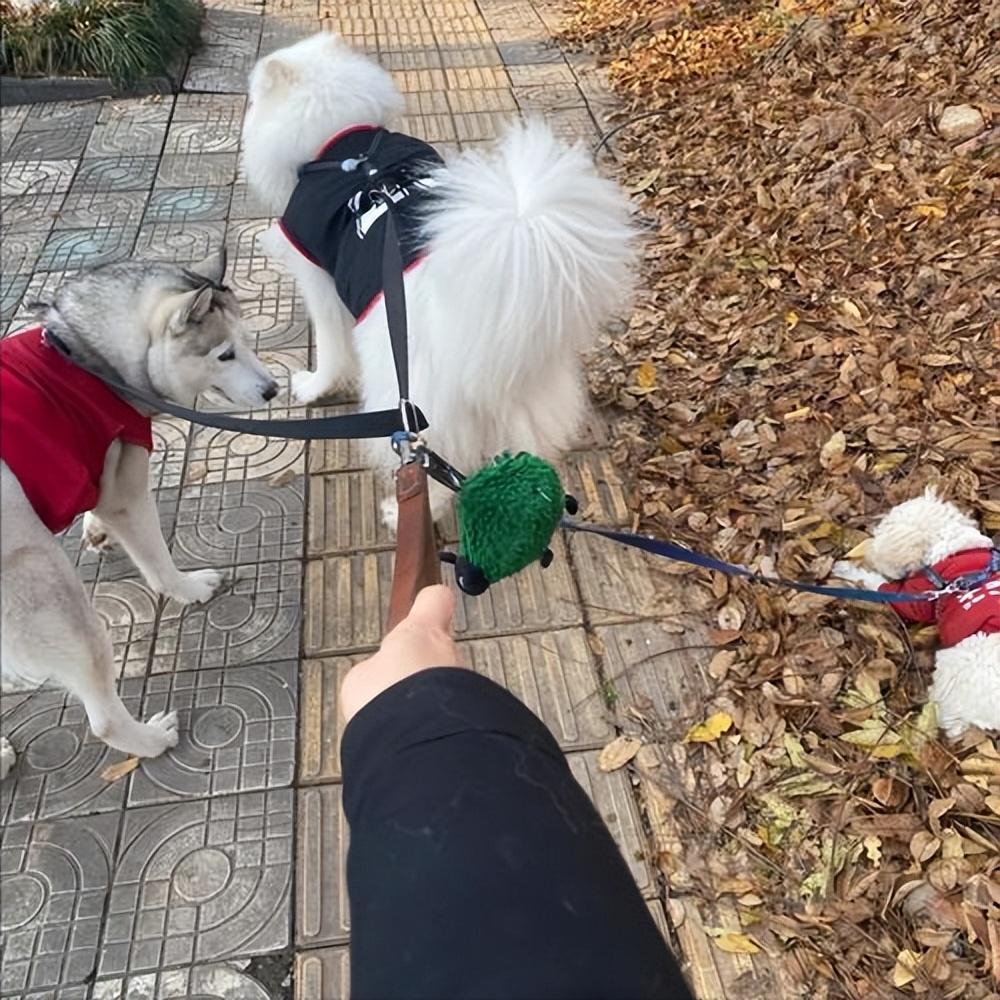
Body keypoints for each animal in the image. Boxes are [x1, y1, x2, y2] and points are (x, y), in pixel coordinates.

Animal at [0, 252, 278, 781]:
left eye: (251, 341)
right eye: (225, 355)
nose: (273, 389)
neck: (84, 354)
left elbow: (95, 501)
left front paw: (95, 531)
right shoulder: (127, 484)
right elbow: (153, 554)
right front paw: (187, 588)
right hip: (50, 591)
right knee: (103, 718)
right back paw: (150, 740)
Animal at [241, 32, 637, 523]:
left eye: (253, 97)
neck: (347, 147)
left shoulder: (319, 279)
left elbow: (332, 351)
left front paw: (312, 387)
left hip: (413, 408)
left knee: (433, 467)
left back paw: (401, 512)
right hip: (528, 399)